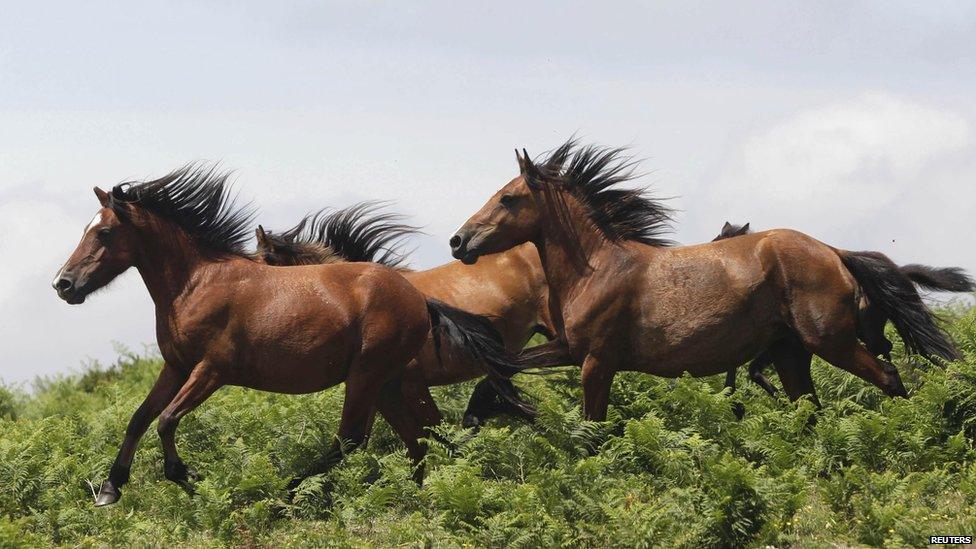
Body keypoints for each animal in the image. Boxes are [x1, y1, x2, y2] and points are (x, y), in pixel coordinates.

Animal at [452, 141, 960, 420]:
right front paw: (482, 412)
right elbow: (502, 365)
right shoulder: (568, 348)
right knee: (809, 411)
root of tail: (835, 252)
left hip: (830, 342)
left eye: (508, 198)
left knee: (889, 377)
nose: (459, 241)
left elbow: (592, 427)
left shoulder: (596, 361)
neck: (595, 269)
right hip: (791, 353)